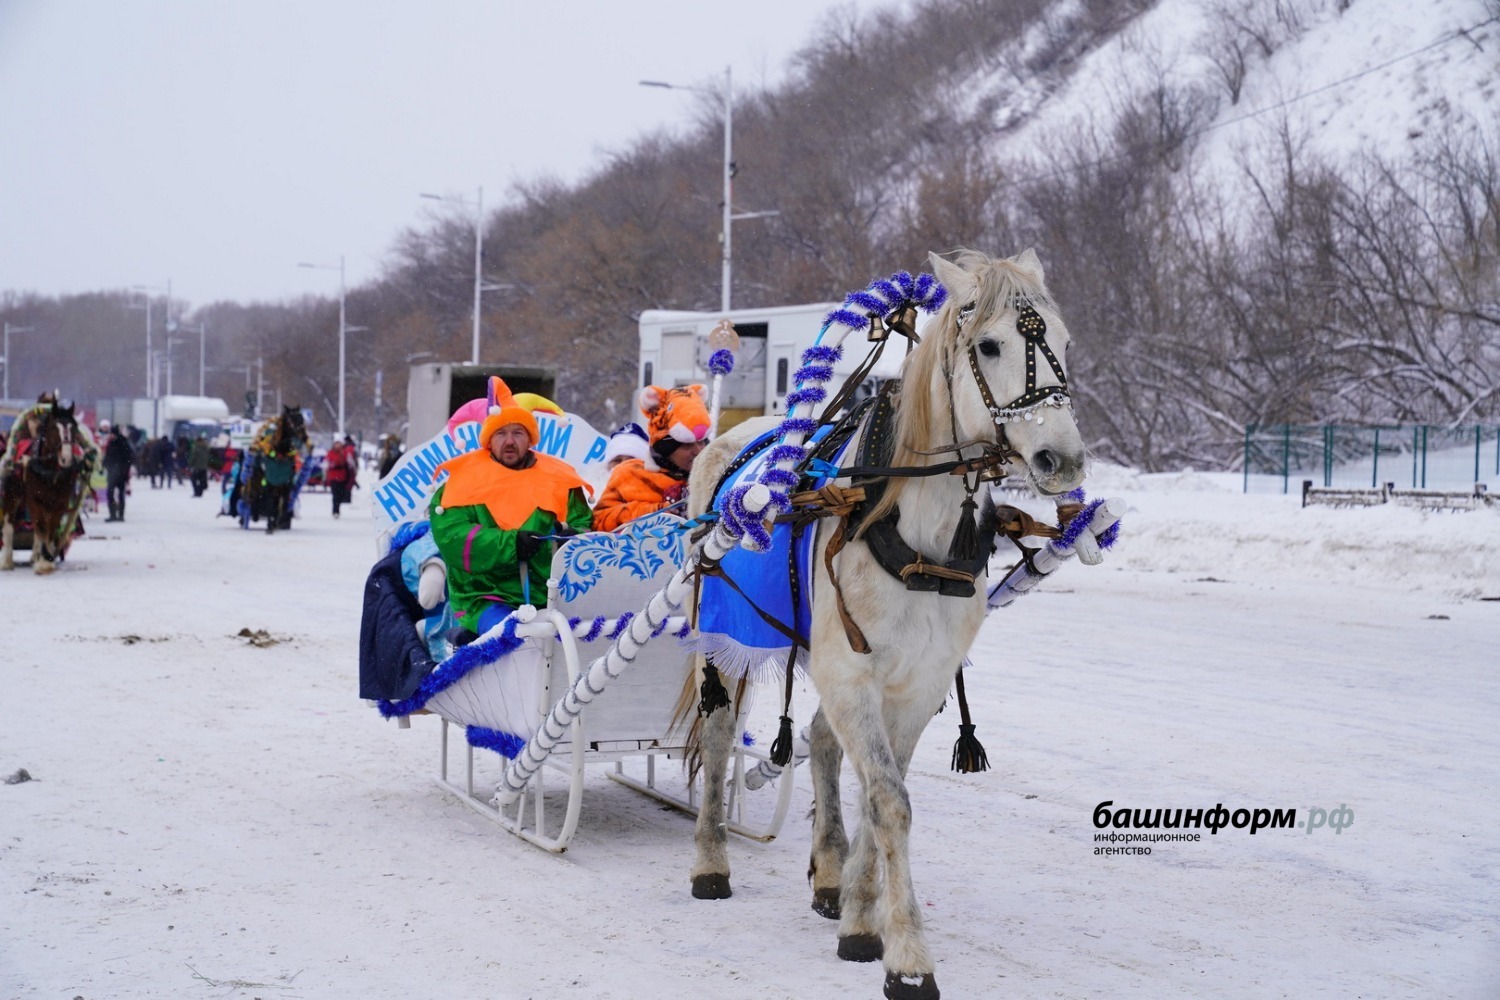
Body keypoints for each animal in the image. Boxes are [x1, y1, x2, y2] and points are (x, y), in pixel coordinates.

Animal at [1, 401, 89, 575]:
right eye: (54, 428)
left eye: (73, 428)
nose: (66, 458)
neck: (49, 469)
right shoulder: (35, 500)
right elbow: (41, 527)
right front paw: (43, 563)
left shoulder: (59, 503)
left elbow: (50, 529)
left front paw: (45, 558)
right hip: (11, 494)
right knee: (9, 525)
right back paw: (7, 561)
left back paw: (36, 555)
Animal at [687, 248, 1086, 1000]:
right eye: (990, 346)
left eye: (1064, 342)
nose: (1063, 460)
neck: (917, 530)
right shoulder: (853, 671)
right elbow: (890, 800)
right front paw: (907, 955)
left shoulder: (916, 684)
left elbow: (881, 794)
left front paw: (860, 914)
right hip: (723, 635)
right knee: (721, 735)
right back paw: (710, 862)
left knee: (819, 740)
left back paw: (827, 871)